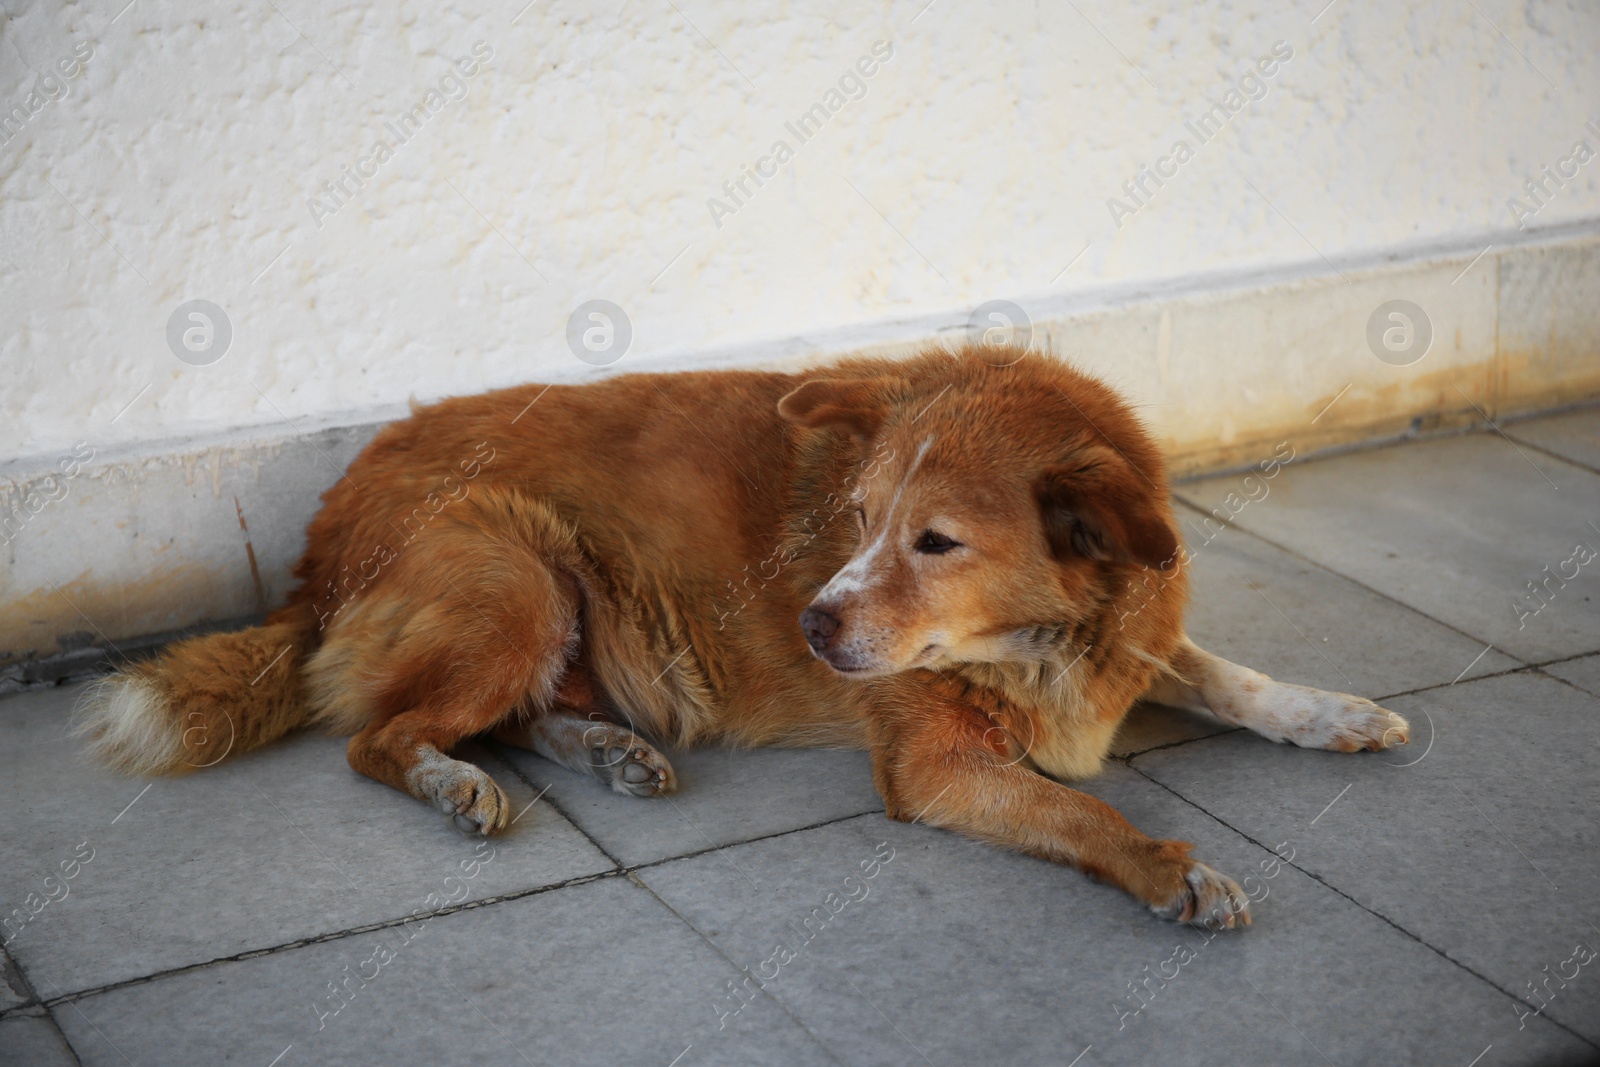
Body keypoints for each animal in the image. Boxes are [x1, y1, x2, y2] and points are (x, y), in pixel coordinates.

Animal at [78, 348, 1401, 927]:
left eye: (935, 541)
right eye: (856, 519)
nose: (811, 620)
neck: (1040, 639)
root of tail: (317, 543)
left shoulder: (1129, 647)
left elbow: (1233, 678)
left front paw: (1332, 710)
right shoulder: (936, 765)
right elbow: (1081, 811)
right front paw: (1169, 867)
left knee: (515, 712)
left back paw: (607, 750)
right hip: (516, 574)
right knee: (382, 733)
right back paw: (454, 780)